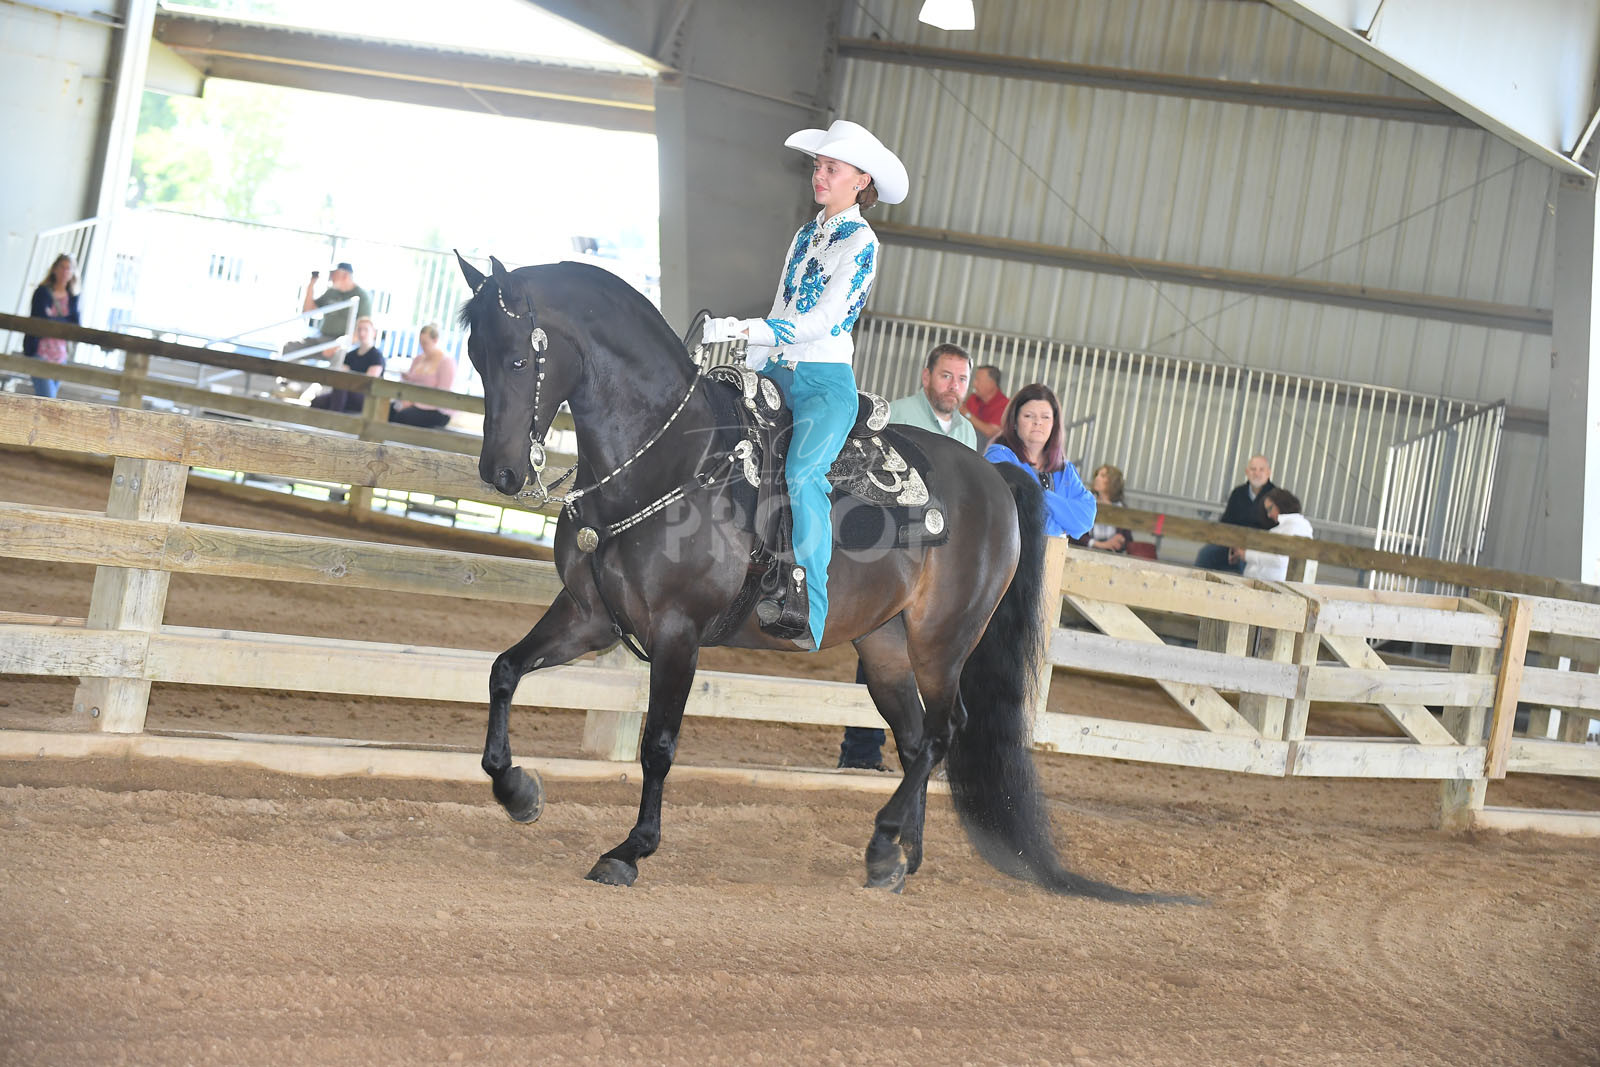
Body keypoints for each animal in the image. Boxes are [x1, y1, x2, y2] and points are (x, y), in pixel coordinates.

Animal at [454, 253, 1180, 902]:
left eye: (518, 359)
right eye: (475, 356)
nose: (501, 473)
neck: (670, 459)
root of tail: (999, 475)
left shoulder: (677, 632)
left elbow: (658, 743)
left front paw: (630, 850)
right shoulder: (590, 616)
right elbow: (503, 670)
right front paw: (517, 791)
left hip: (942, 641)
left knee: (945, 731)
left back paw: (887, 840)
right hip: (884, 646)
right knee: (915, 738)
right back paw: (898, 856)